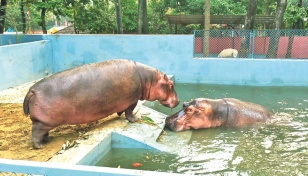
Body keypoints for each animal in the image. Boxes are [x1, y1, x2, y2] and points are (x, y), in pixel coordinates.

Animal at [24, 59, 180, 148]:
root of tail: (32, 90)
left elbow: (122, 110)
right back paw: (40, 146)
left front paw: (119, 114)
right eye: (171, 84)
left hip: (46, 122)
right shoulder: (133, 100)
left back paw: (48, 139)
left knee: (43, 132)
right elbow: (129, 111)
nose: (178, 101)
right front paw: (136, 119)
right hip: (42, 122)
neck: (149, 79)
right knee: (35, 132)